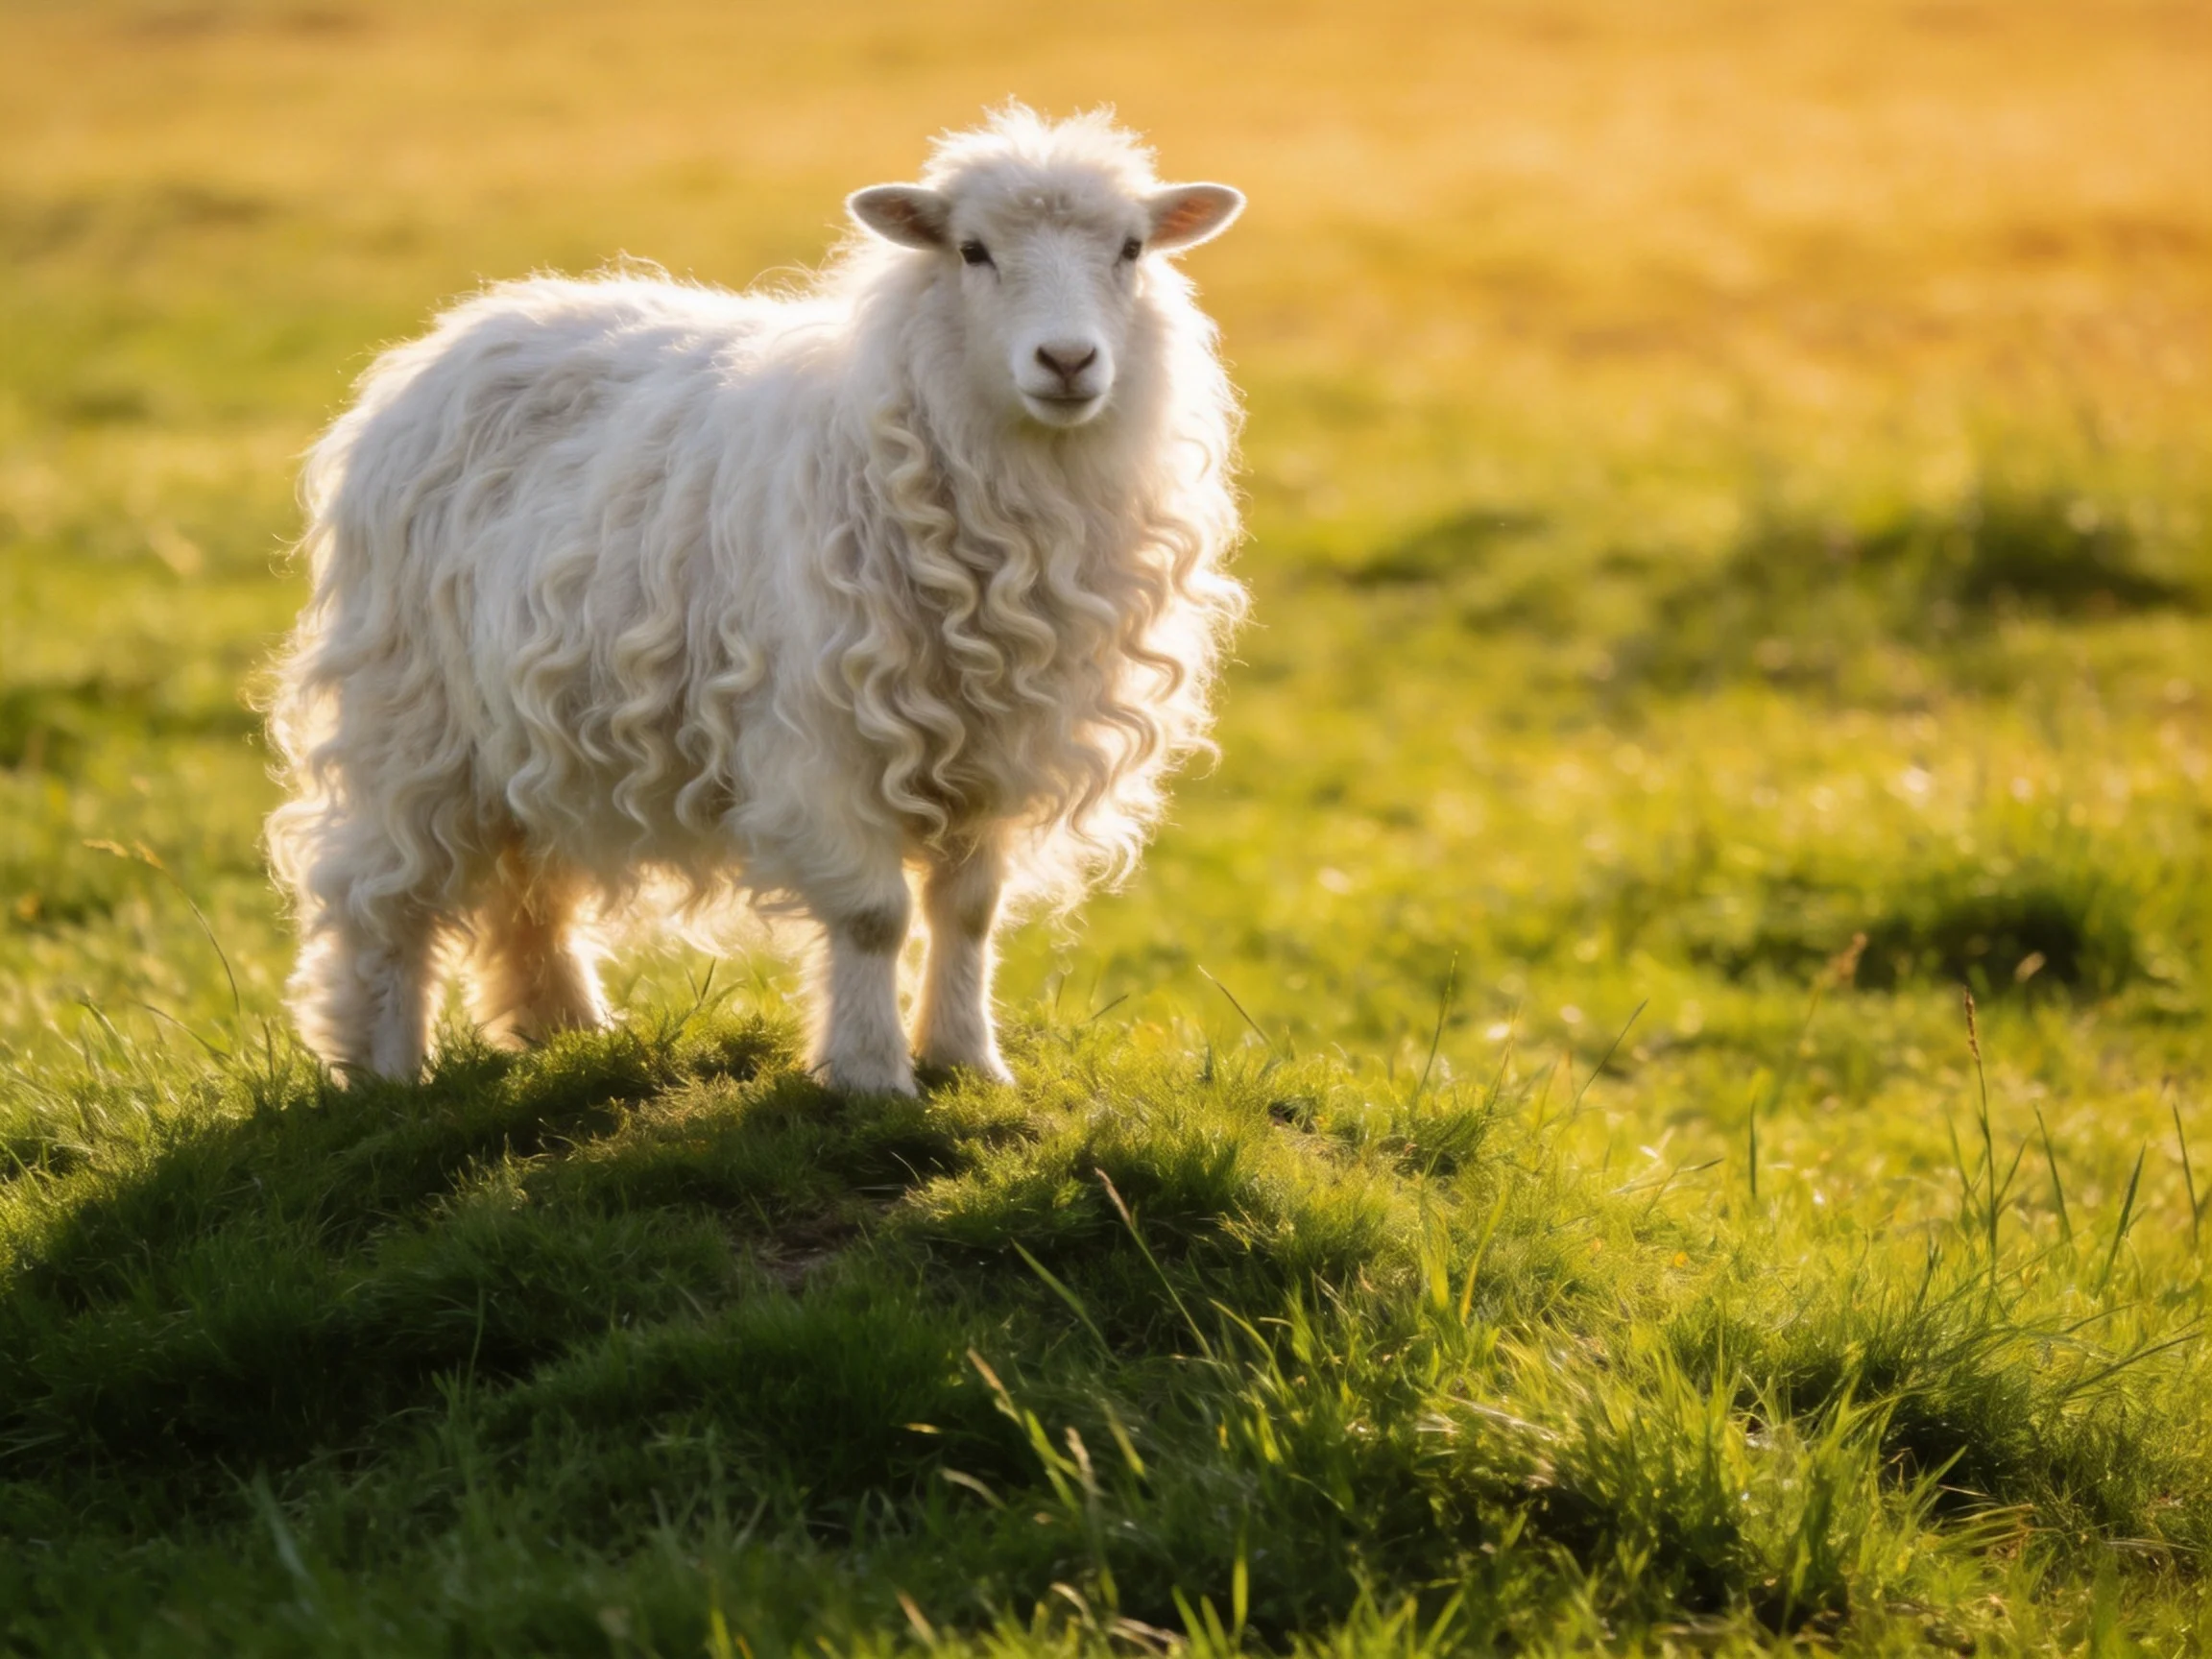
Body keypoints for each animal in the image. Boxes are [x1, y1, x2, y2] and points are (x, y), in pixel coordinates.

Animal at [263, 106, 1248, 1095]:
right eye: (972, 251)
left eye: (1131, 248)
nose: (1068, 360)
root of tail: (452, 337)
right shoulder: (819, 733)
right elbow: (872, 914)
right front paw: (870, 1076)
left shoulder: (994, 741)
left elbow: (968, 908)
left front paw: (967, 1062)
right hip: (414, 707)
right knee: (381, 888)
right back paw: (387, 1069)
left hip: (536, 720)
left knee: (529, 878)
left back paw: (568, 1028)